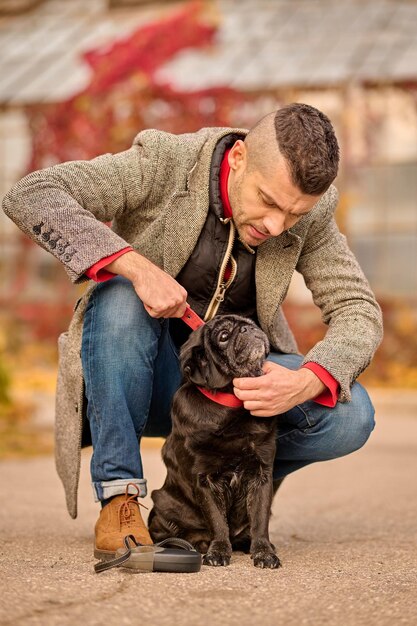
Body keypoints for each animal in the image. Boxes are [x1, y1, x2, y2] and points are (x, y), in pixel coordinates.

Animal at [148, 314, 282, 568]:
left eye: (249, 321)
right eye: (224, 336)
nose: (247, 328)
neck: (232, 406)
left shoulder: (261, 475)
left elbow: (260, 520)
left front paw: (263, 551)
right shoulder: (205, 480)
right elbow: (218, 521)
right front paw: (218, 551)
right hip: (161, 502)